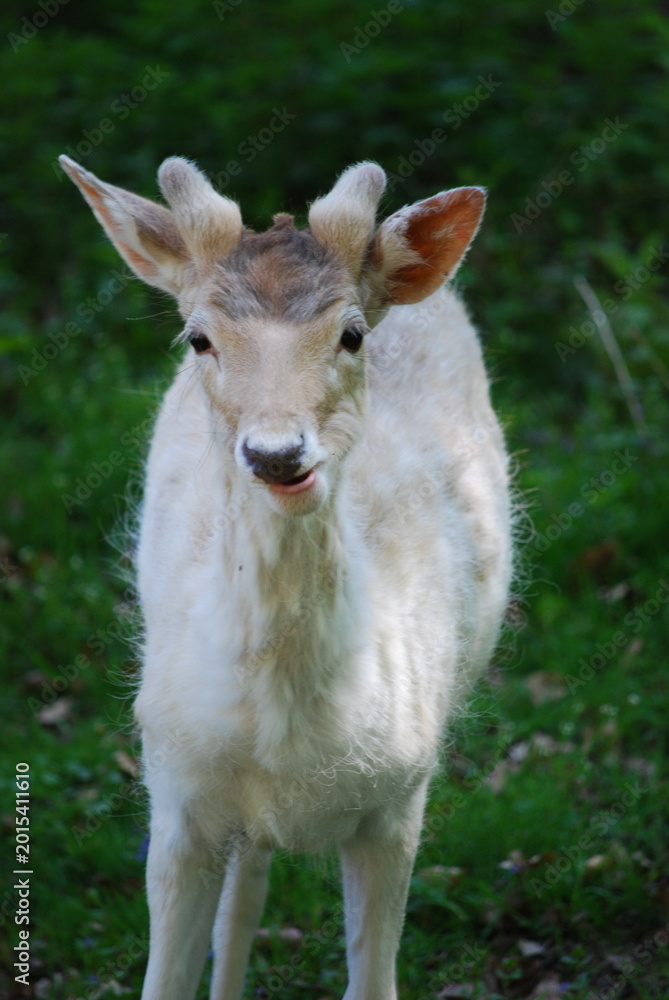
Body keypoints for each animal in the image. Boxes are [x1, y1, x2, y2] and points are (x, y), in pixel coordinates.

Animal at [60, 151, 513, 1000]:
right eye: (198, 337)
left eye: (351, 333)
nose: (276, 453)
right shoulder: (174, 789)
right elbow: (165, 979)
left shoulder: (399, 798)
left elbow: (373, 982)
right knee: (246, 893)